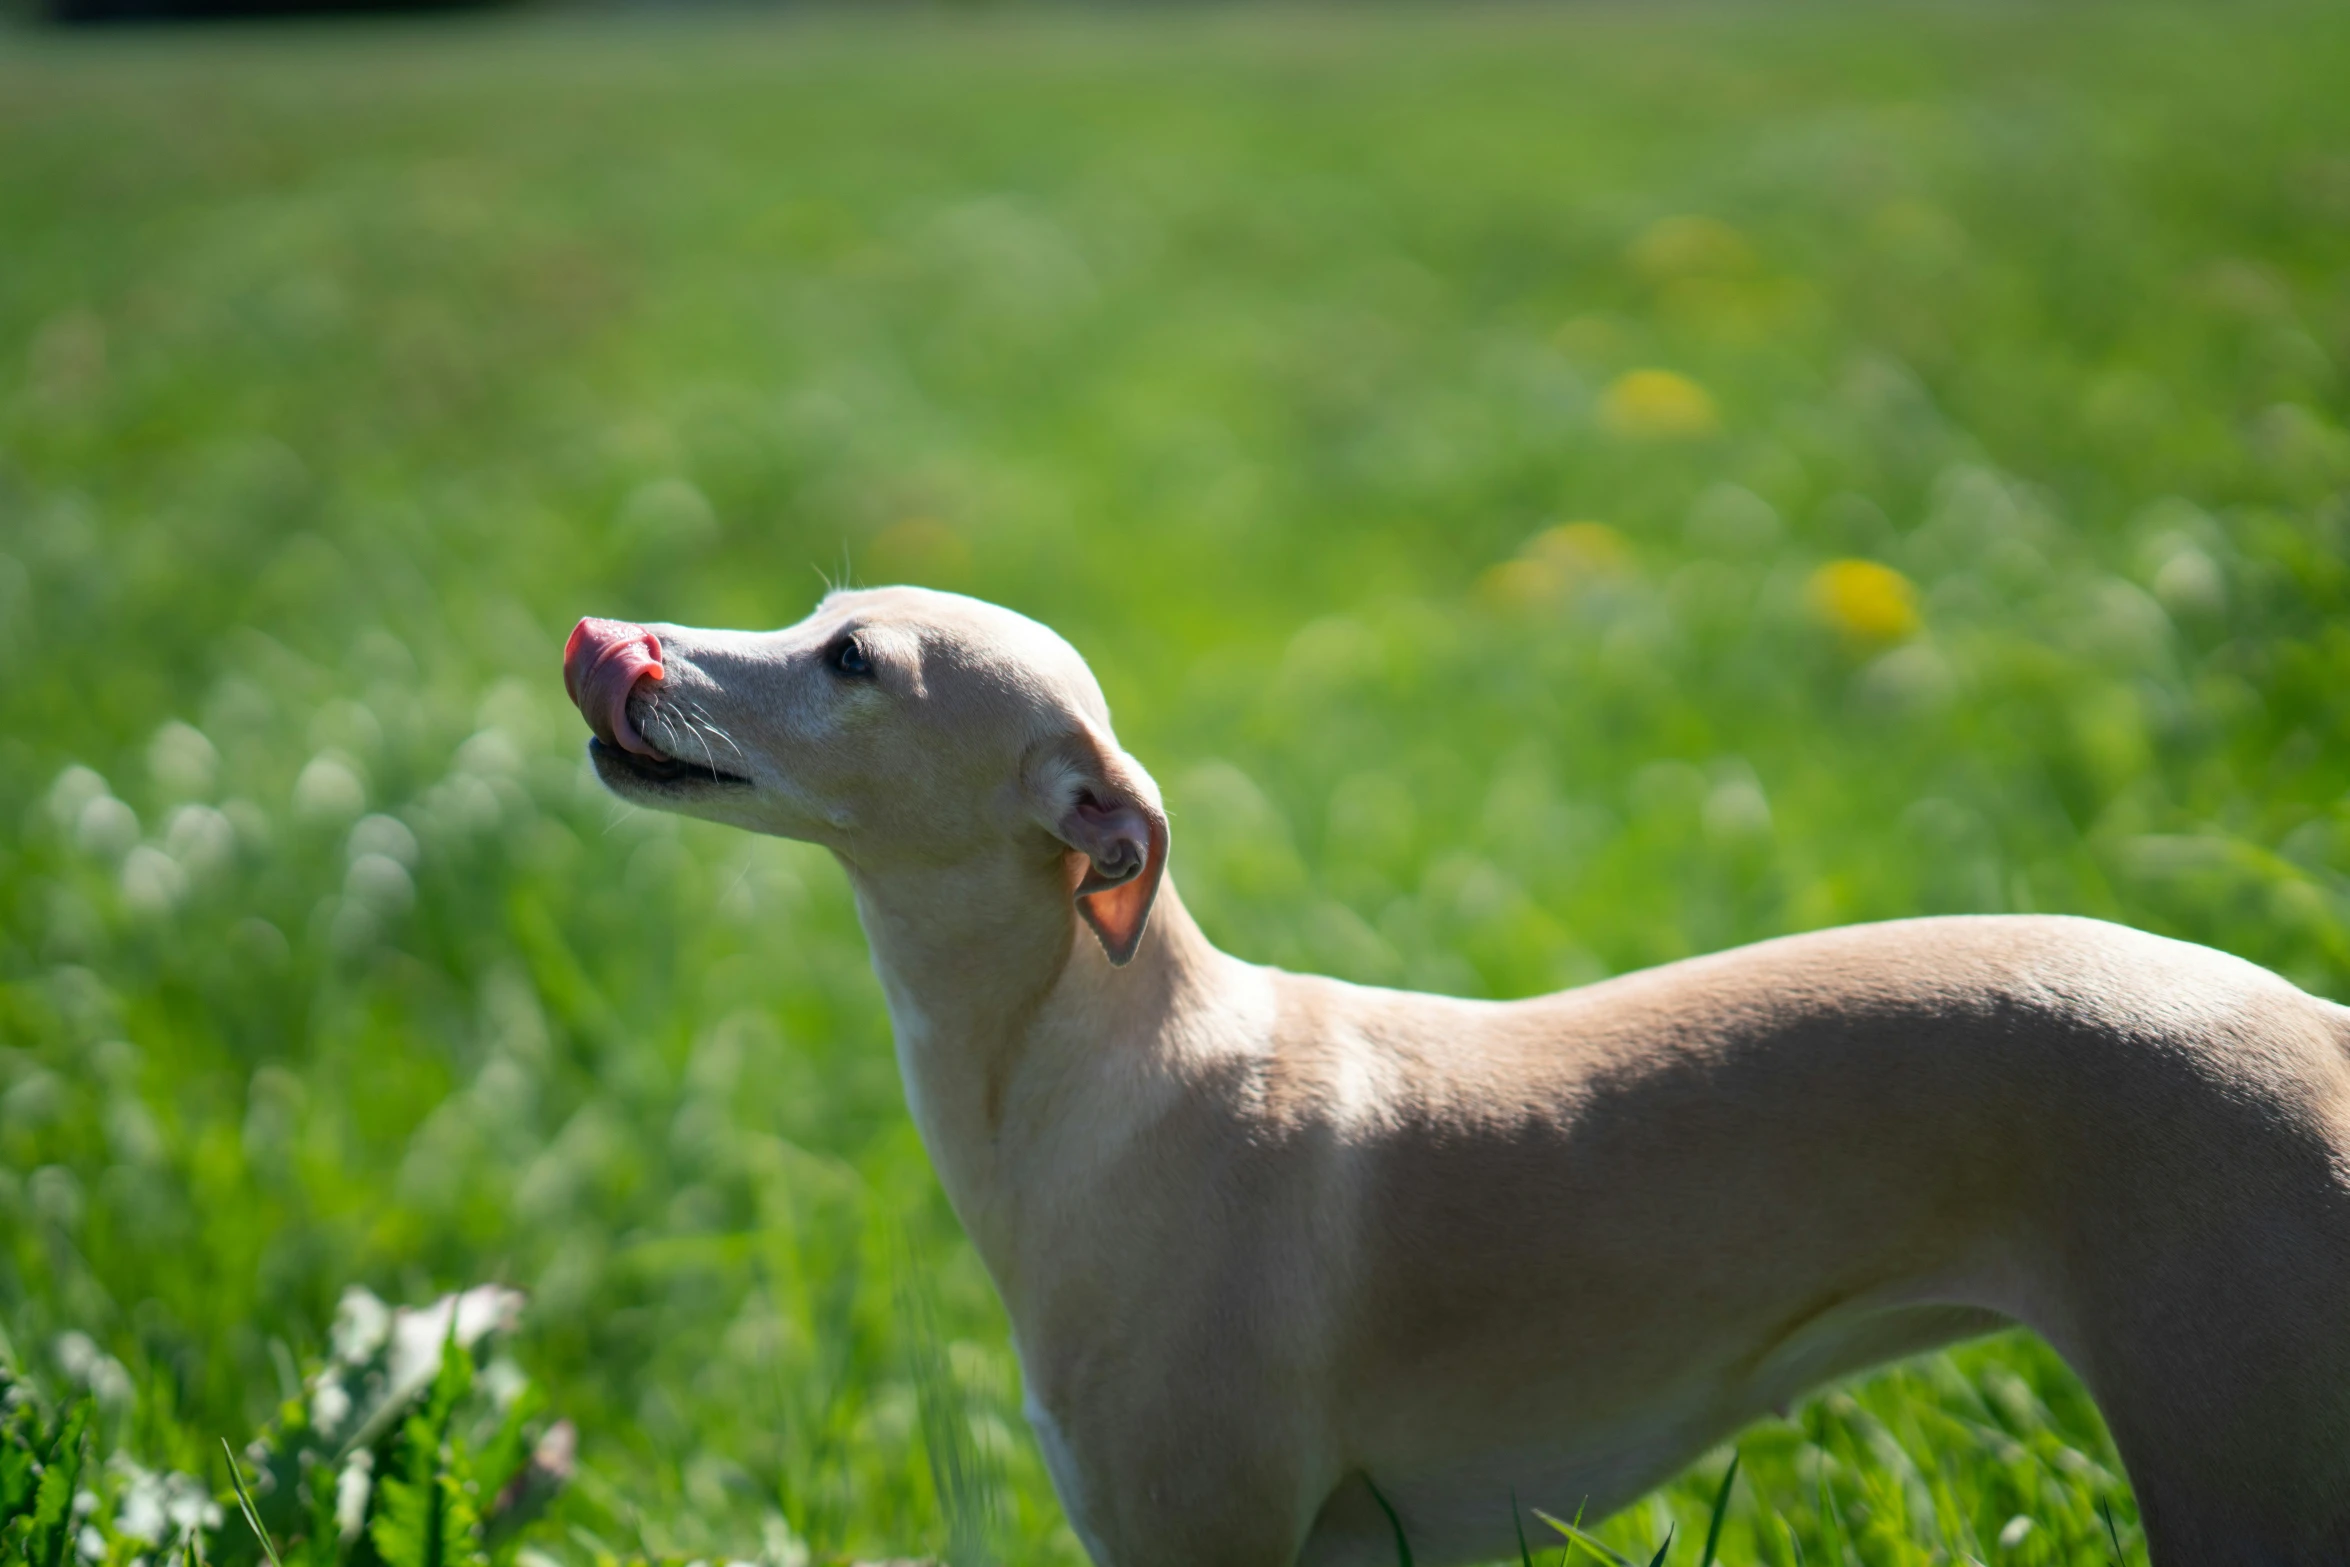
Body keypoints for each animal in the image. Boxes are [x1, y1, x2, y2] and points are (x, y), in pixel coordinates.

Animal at [564, 587, 2350, 1567]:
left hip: (2236, 1454)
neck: (1112, 1069)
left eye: (852, 657)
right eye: (816, 617)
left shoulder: (1200, 1530)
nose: (605, 639)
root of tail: (2317, 1024)